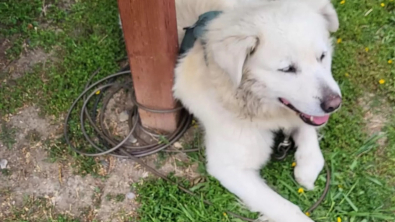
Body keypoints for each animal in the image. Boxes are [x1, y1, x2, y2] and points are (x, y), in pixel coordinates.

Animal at [174, 0, 344, 221]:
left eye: (322, 56)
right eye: (287, 69)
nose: (334, 104)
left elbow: (311, 139)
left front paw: (306, 169)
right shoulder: (229, 167)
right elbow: (288, 209)